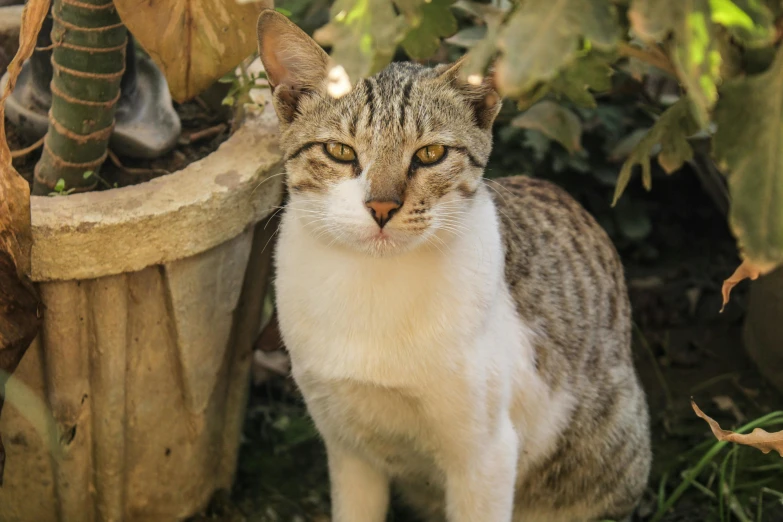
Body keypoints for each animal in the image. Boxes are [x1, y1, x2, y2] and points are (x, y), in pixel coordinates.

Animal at [256, 9, 648, 520]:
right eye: (340, 151)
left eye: (430, 153)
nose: (382, 207)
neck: (375, 288)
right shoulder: (347, 446)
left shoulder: (486, 455)